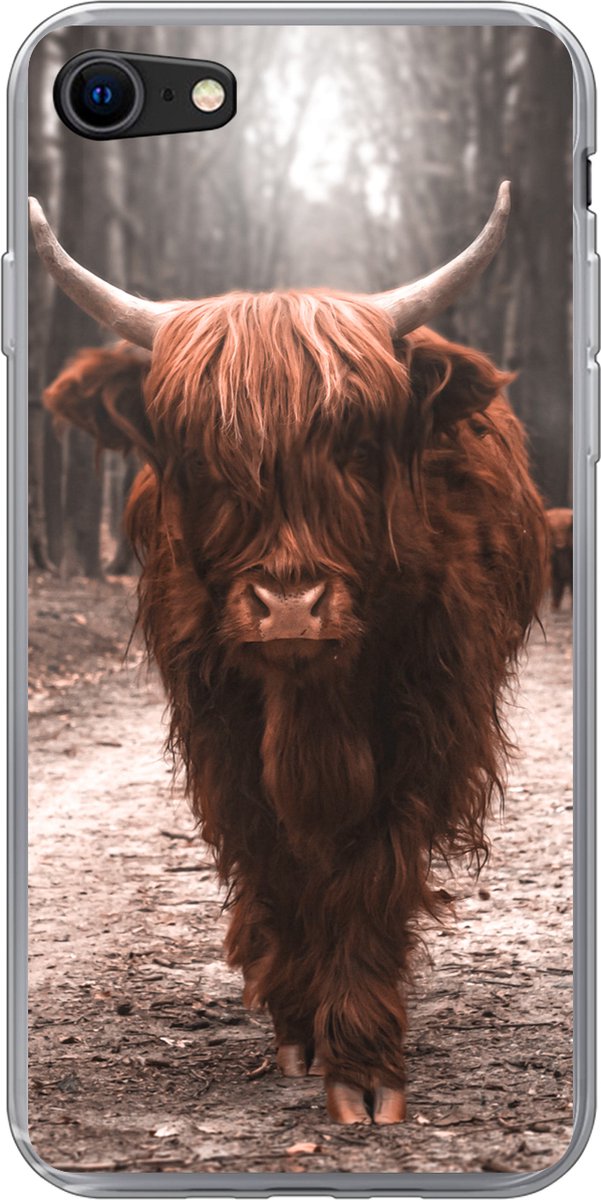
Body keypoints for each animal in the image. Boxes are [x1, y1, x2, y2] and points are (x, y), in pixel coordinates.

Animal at [30, 185, 548, 1126]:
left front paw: (365, 1064)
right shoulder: (218, 729)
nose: (290, 607)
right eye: (202, 458)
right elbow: (274, 858)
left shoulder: (425, 720)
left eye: (356, 446)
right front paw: (303, 1028)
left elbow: (371, 867)